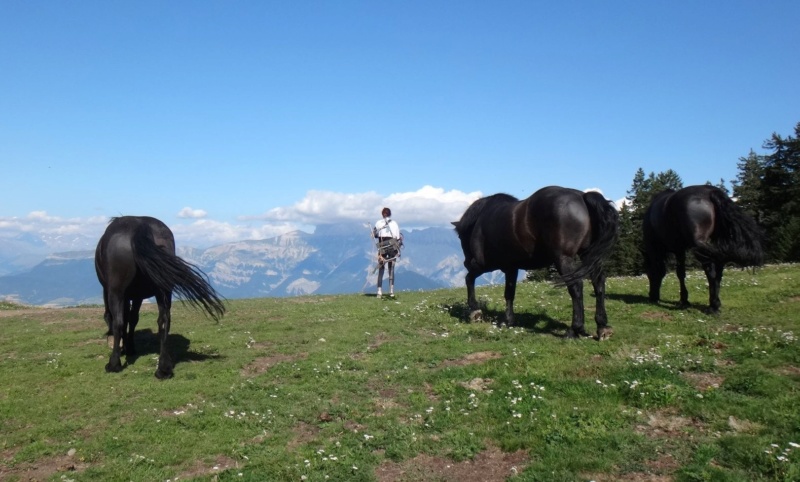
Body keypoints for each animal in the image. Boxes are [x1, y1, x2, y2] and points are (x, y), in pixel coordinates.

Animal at [96, 217, 225, 378]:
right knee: (164, 321)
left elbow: (118, 318)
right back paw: (164, 368)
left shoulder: (112, 292)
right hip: (163, 290)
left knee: (118, 322)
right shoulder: (138, 296)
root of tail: (139, 226)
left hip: (116, 291)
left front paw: (124, 348)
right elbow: (132, 319)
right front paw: (129, 348)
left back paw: (114, 364)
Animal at [450, 185, 620, 338]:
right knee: (598, 283)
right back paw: (602, 326)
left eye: (460, 237)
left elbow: (469, 278)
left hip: (563, 258)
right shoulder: (511, 268)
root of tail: (582, 196)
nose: (466, 262)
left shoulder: (484, 265)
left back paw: (574, 329)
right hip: (588, 255)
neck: (480, 220)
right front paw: (508, 320)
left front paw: (474, 310)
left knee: (576, 287)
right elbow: (509, 293)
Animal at [644, 184, 764, 312]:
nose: (652, 297)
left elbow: (675, 272)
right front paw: (684, 300)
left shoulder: (659, 248)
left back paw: (714, 306)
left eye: (649, 275)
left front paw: (683, 300)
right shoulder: (679, 250)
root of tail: (710, 192)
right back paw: (715, 302)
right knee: (719, 270)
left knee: (711, 271)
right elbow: (681, 273)